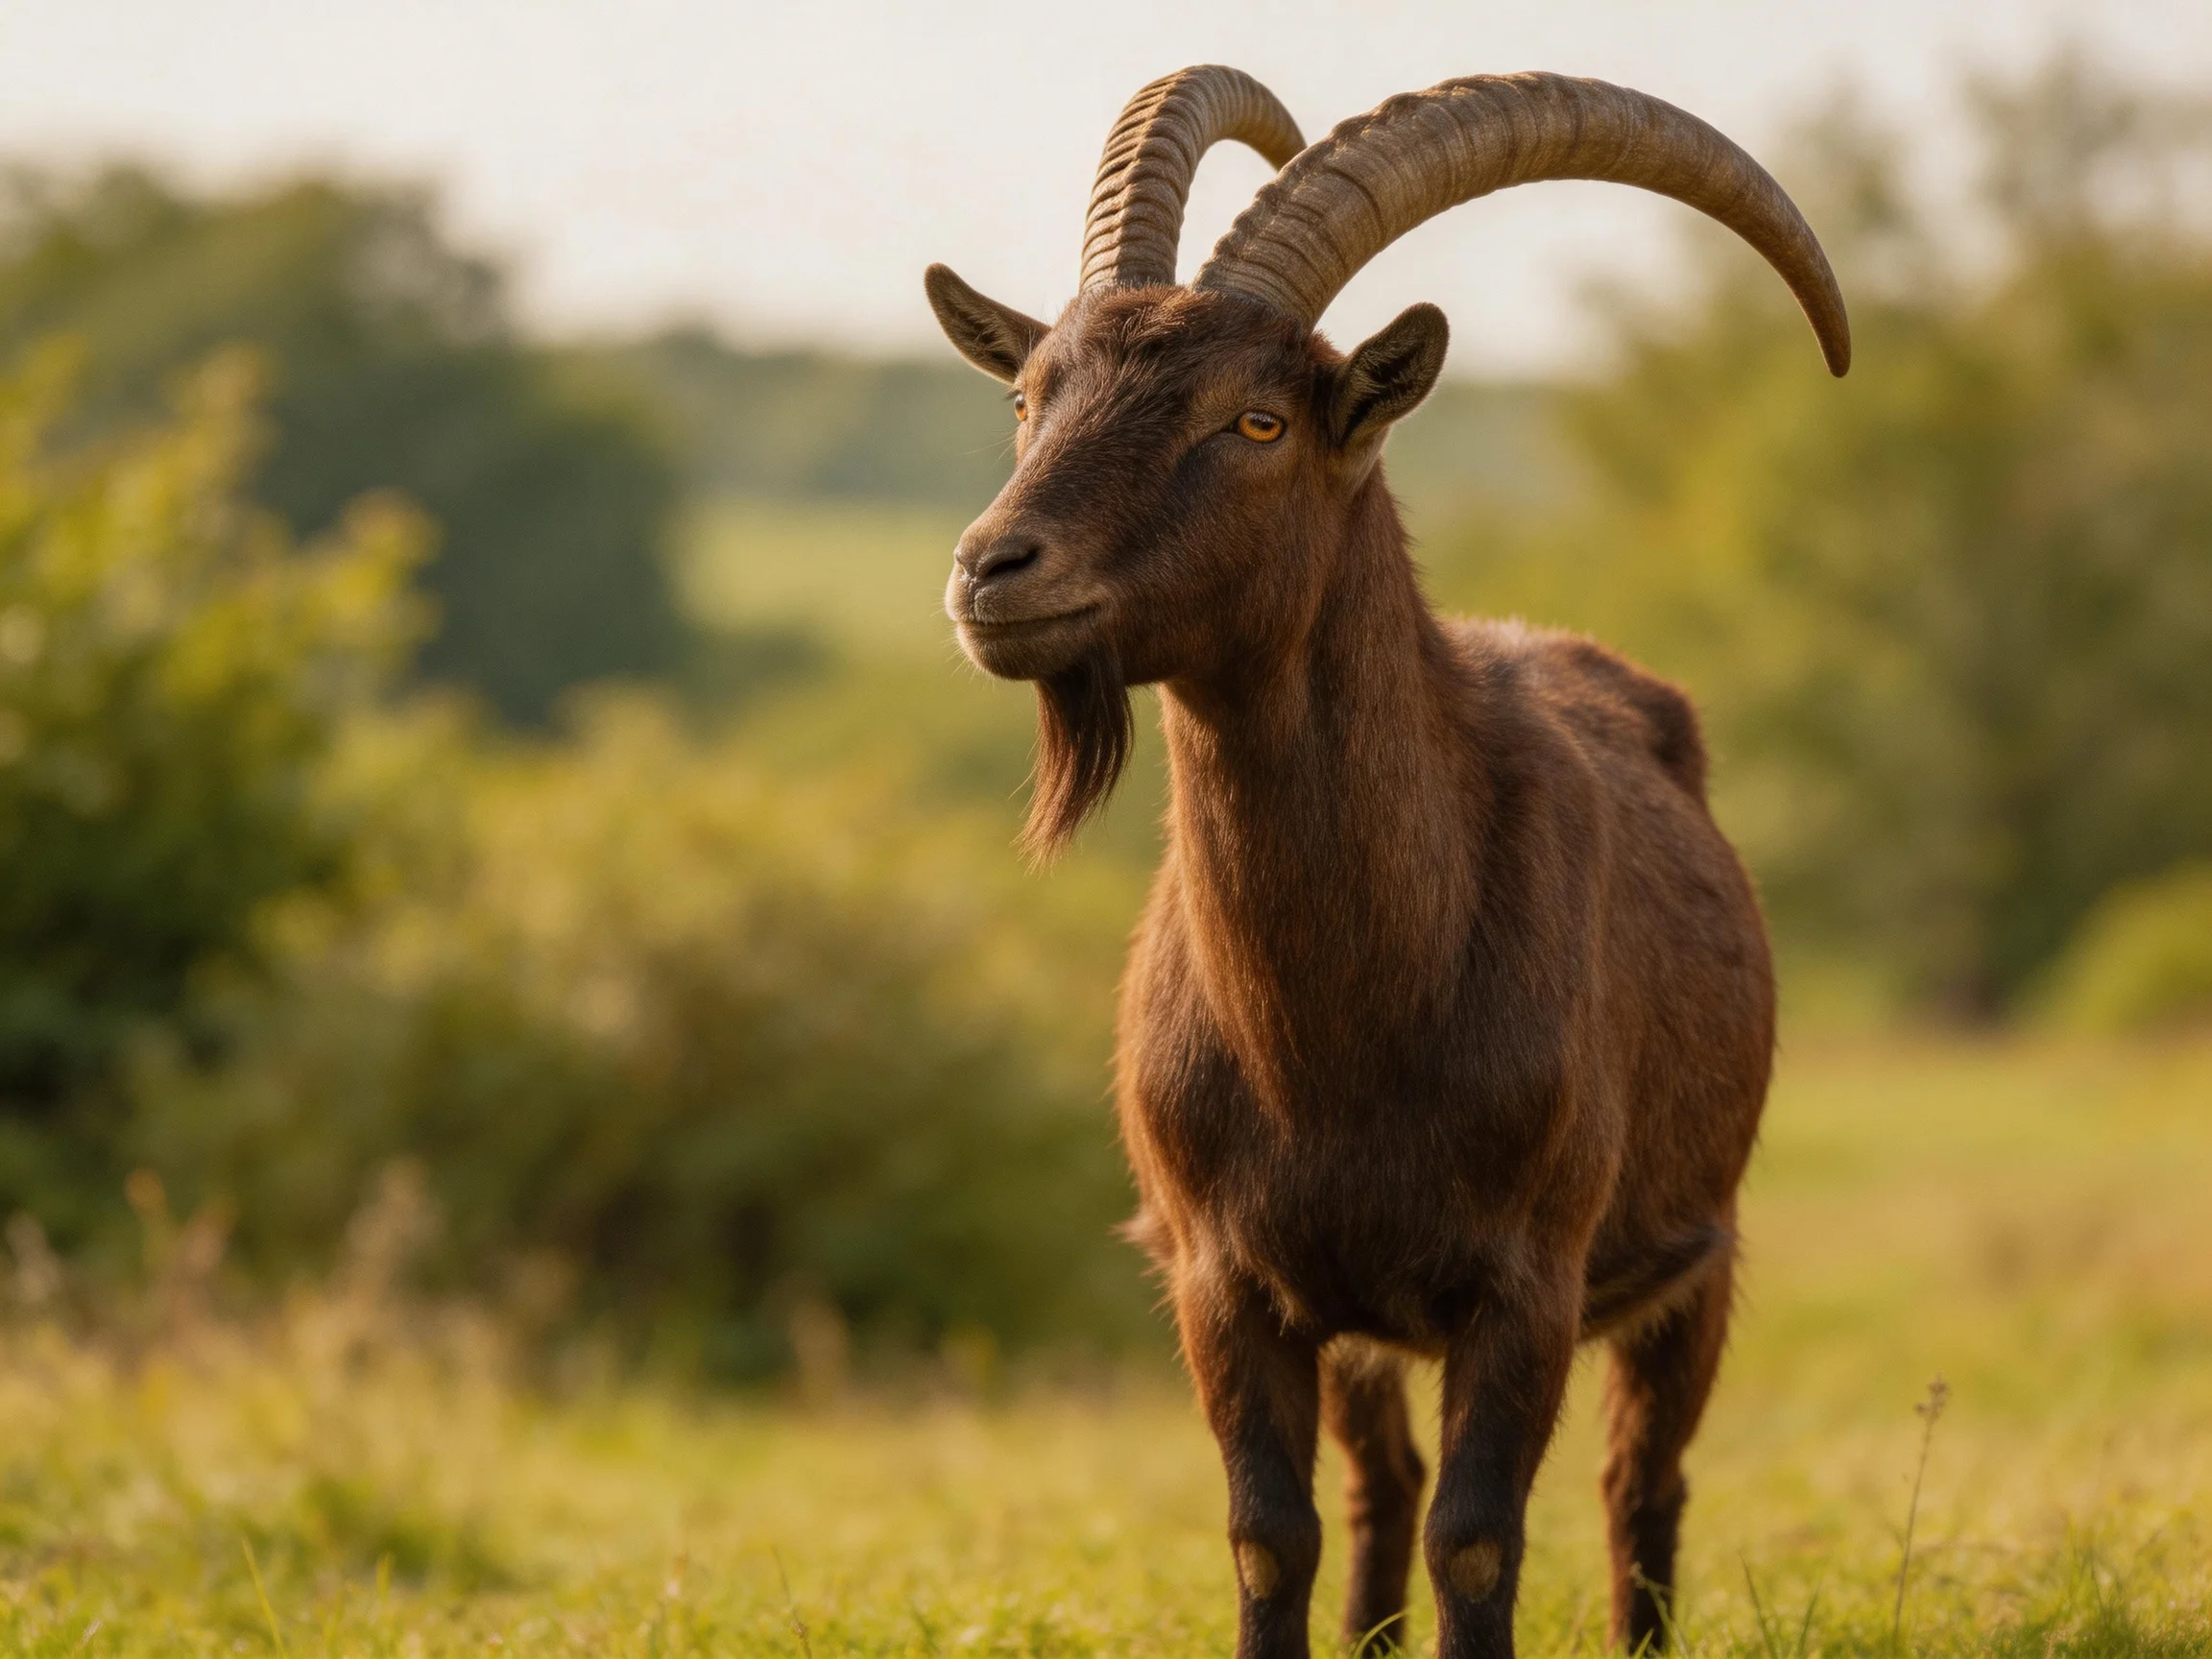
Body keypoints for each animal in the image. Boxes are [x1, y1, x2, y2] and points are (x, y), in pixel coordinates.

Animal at [925, 67, 1848, 1659]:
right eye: (1030, 395)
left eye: (1255, 420)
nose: (995, 570)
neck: (1343, 1029)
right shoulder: (1230, 1281)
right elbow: (1271, 1534)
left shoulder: (1526, 1282)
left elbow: (1478, 1537)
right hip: (1362, 1329)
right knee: (1380, 1491)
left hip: (1697, 1258)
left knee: (1640, 1487)